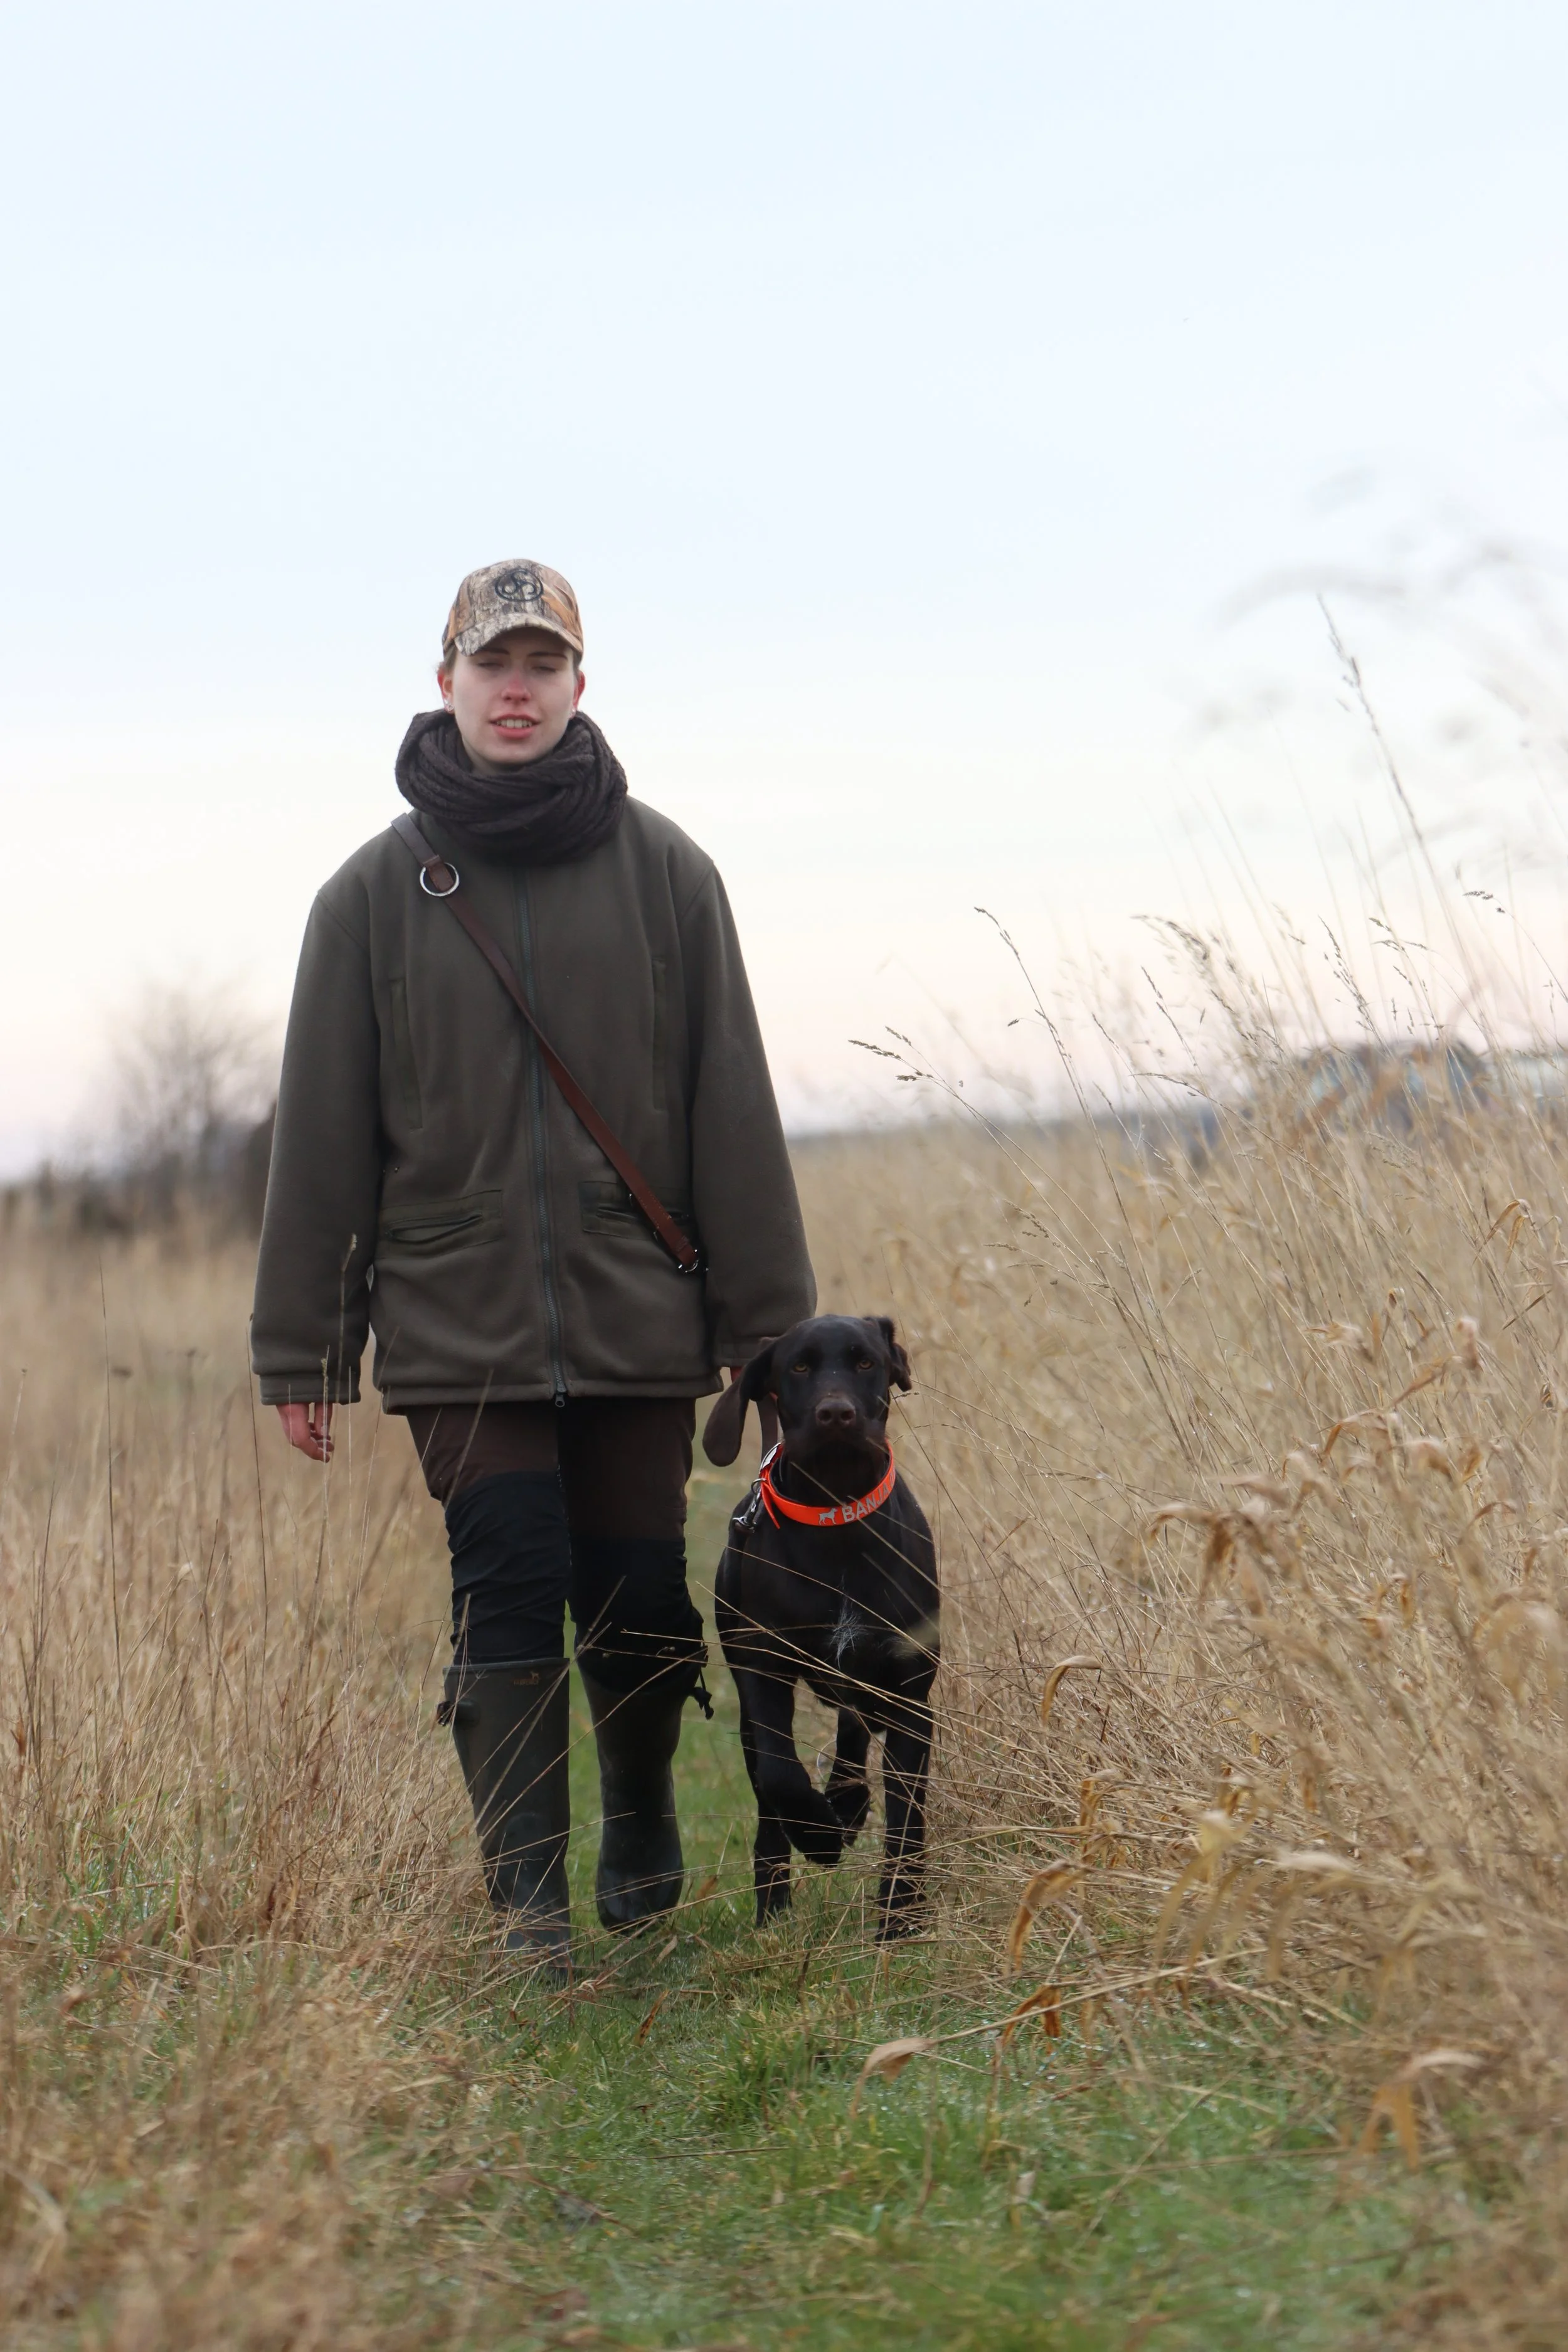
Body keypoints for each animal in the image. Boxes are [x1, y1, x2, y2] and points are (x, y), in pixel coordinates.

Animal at [706, 1315, 939, 1941]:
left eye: (865, 1362)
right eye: (801, 1366)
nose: (836, 1414)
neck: (837, 1519)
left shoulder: (910, 1692)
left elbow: (907, 1815)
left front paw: (900, 1915)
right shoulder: (764, 1673)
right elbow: (782, 1777)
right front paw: (818, 1835)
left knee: (854, 1731)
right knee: (770, 1796)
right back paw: (775, 1904)